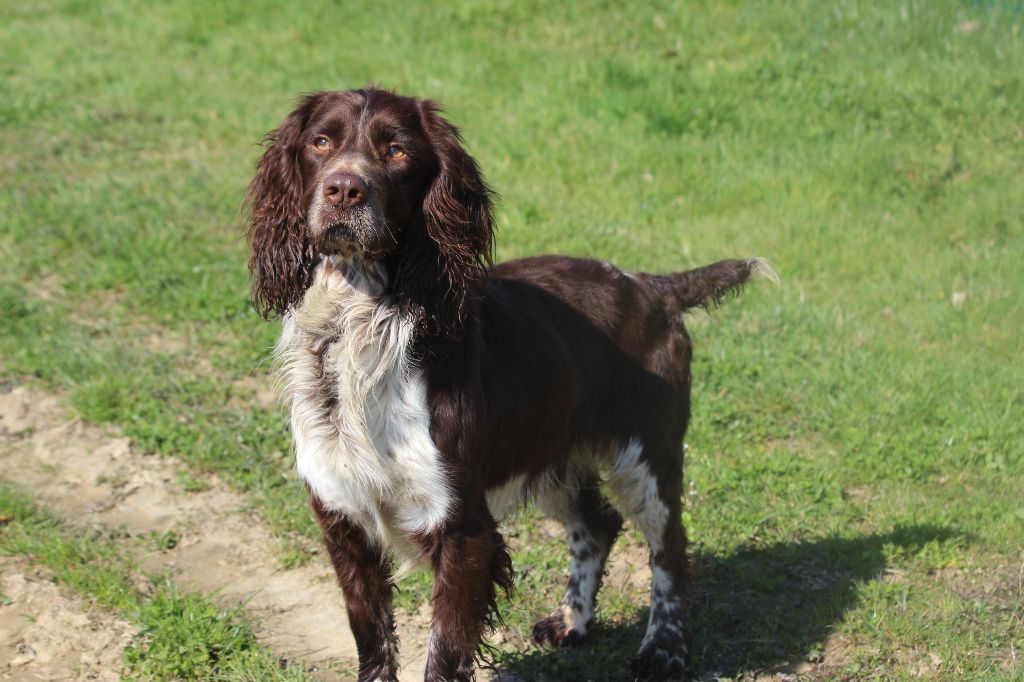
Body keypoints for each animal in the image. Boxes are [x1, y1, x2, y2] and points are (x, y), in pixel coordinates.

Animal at [243, 87, 770, 675]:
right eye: (321, 142)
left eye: (396, 150)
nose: (344, 189)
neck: (358, 328)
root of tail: (654, 287)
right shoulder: (343, 521)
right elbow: (373, 642)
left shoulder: (464, 531)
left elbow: (444, 655)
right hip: (552, 455)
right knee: (598, 525)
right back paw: (571, 622)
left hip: (646, 457)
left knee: (670, 548)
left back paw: (664, 649)